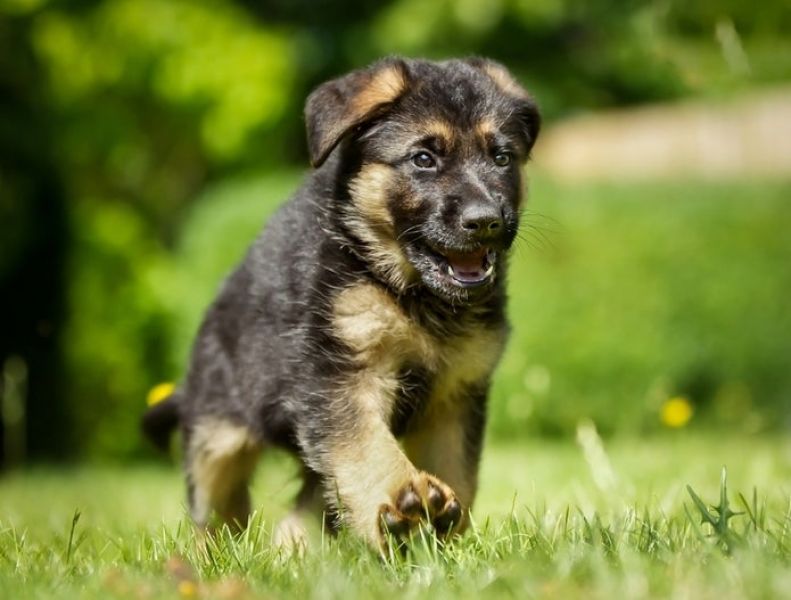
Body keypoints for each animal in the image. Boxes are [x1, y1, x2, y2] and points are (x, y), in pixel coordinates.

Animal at [142, 56, 540, 548]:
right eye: (423, 159)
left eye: (501, 158)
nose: (484, 221)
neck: (409, 292)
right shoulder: (341, 374)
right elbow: (365, 444)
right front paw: (402, 498)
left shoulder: (456, 394)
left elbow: (457, 471)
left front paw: (445, 535)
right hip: (216, 435)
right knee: (217, 507)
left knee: (311, 500)